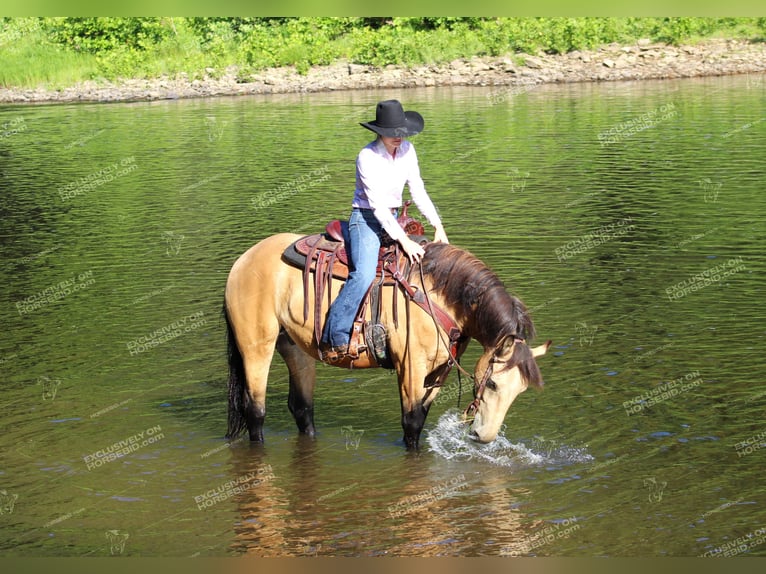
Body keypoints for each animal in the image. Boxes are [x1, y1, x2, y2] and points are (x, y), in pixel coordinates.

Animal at [224, 231, 552, 450]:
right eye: (493, 383)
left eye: (520, 391)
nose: (485, 437)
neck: (439, 296)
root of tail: (242, 261)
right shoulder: (411, 367)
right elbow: (412, 422)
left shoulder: (439, 372)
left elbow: (421, 416)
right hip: (256, 348)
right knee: (255, 410)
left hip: (295, 347)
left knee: (302, 408)